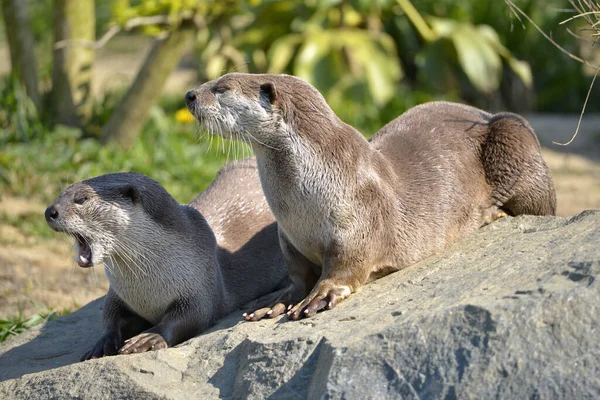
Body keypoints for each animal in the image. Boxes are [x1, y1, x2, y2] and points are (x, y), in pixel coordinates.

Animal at [44, 159, 286, 360]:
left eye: (81, 199)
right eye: (60, 195)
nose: (49, 211)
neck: (147, 290)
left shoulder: (202, 284)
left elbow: (192, 316)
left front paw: (149, 338)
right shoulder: (118, 293)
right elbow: (110, 315)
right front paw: (103, 343)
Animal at [185, 73, 556, 320]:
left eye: (221, 88)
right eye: (213, 81)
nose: (189, 95)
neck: (301, 207)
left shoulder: (358, 218)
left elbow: (347, 264)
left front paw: (320, 296)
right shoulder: (287, 236)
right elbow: (297, 272)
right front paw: (278, 300)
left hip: (513, 137)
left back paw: (494, 213)